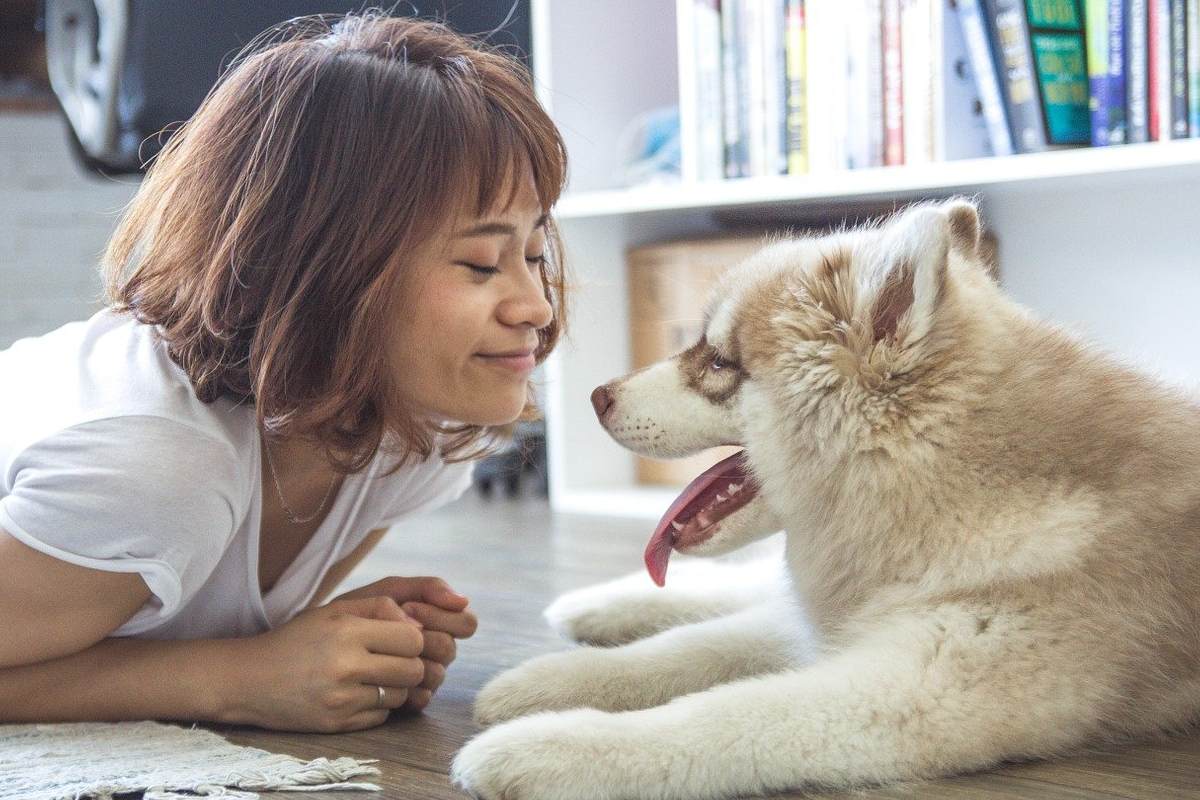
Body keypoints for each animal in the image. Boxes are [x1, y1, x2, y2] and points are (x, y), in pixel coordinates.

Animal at [448, 200, 1200, 800]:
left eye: (718, 362)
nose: (596, 396)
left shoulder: (915, 689)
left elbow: (722, 714)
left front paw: (545, 747)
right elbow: (686, 649)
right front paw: (546, 680)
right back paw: (596, 607)